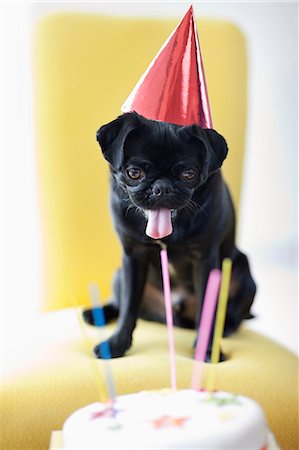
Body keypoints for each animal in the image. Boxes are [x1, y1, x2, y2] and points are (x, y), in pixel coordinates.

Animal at [83, 111, 256, 358]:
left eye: (189, 174)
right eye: (134, 173)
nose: (162, 187)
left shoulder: (205, 260)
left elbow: (207, 310)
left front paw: (208, 350)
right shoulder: (133, 257)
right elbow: (128, 307)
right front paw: (116, 344)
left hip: (244, 274)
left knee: (233, 312)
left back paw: (226, 328)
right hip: (119, 274)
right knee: (122, 302)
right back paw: (97, 313)